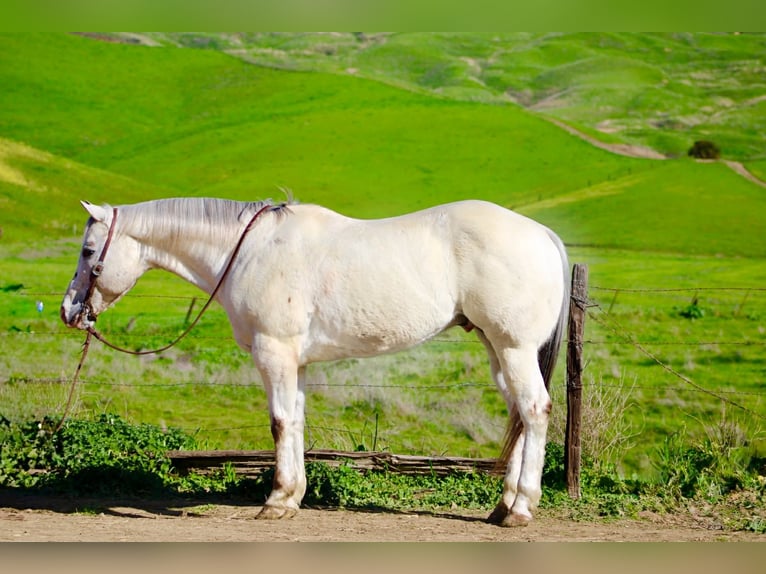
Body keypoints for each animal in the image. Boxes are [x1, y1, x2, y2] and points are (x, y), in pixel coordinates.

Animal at [60, 197, 569, 526]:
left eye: (88, 251)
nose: (69, 310)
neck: (250, 251)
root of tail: (543, 234)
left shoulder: (274, 352)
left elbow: (280, 423)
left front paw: (276, 500)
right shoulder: (295, 362)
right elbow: (296, 422)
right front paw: (293, 496)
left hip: (514, 348)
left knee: (535, 410)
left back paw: (521, 509)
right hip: (496, 349)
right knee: (519, 415)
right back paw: (502, 507)